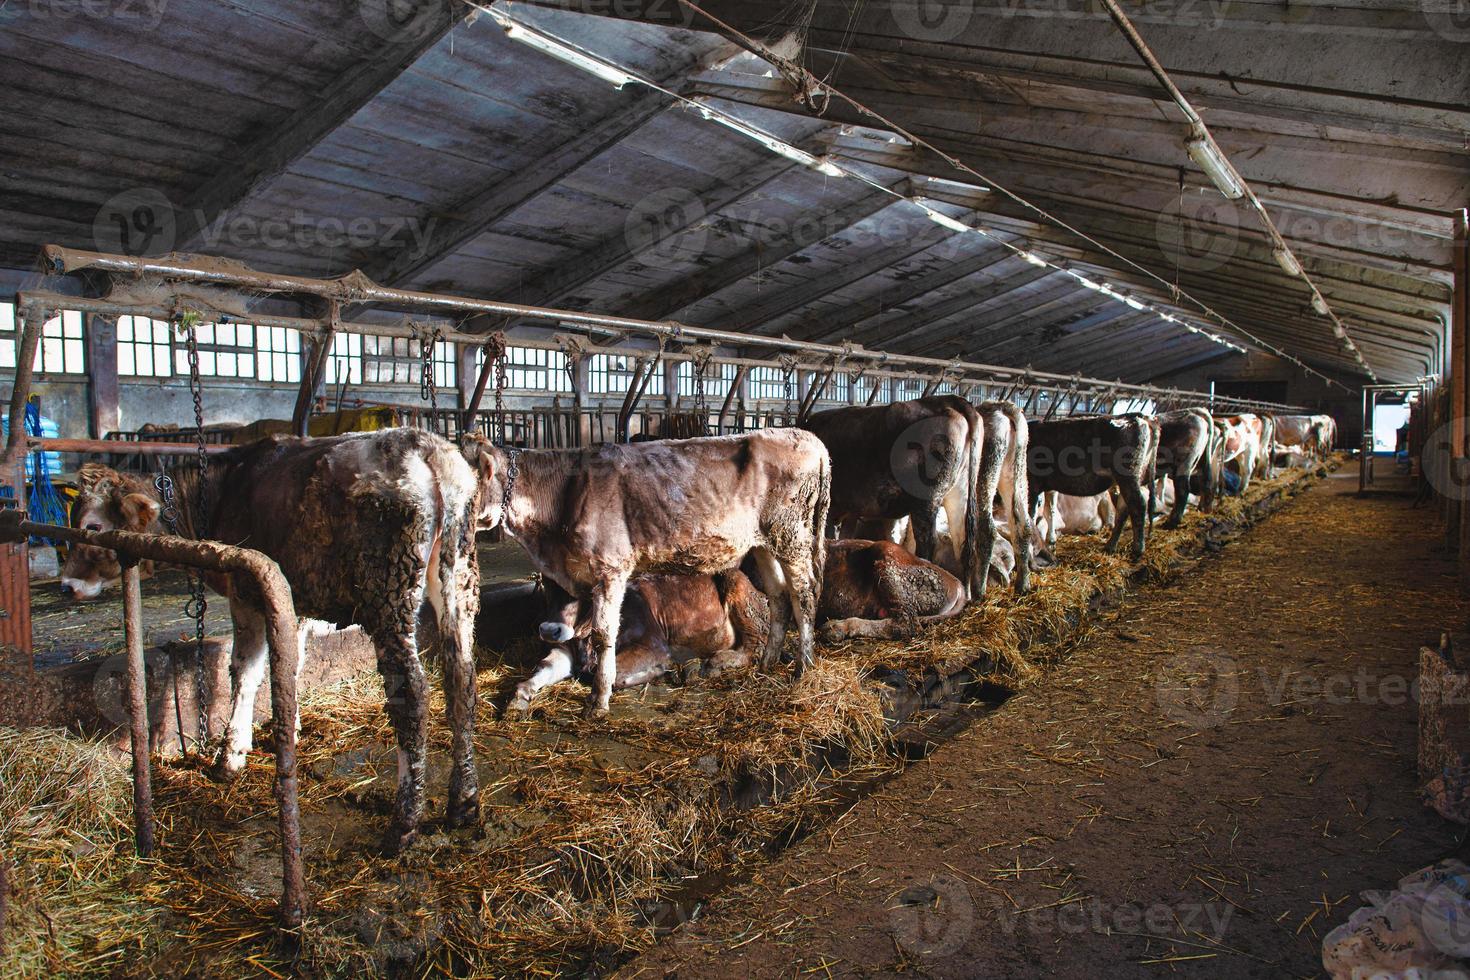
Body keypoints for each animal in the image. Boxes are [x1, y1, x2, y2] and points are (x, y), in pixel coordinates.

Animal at [58, 429, 482, 852]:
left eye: (92, 527)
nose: (66, 585)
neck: (223, 490)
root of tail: (424, 446)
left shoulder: (245, 589)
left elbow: (244, 670)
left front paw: (230, 757)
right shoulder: (295, 598)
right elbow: (291, 663)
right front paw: (289, 728)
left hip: (387, 591)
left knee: (413, 695)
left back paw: (403, 824)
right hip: (458, 579)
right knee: (461, 679)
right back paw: (463, 803)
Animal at [470, 429, 840, 719]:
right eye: (545, 586)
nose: (548, 630)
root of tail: (807, 438)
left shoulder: (611, 568)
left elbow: (604, 635)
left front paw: (599, 701)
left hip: (792, 536)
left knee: (804, 594)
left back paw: (803, 668)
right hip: (764, 543)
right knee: (778, 594)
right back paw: (768, 662)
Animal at [799, 393, 981, 593]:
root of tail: (950, 400)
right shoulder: (850, 511)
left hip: (926, 498)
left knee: (928, 542)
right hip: (959, 493)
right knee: (963, 543)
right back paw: (967, 593)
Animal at [1029, 414, 1152, 558]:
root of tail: (1135, 419)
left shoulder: (1031, 484)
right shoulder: (1049, 487)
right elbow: (1050, 511)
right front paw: (1050, 544)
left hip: (1128, 476)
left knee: (1138, 505)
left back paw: (1137, 549)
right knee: (1123, 509)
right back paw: (1110, 546)